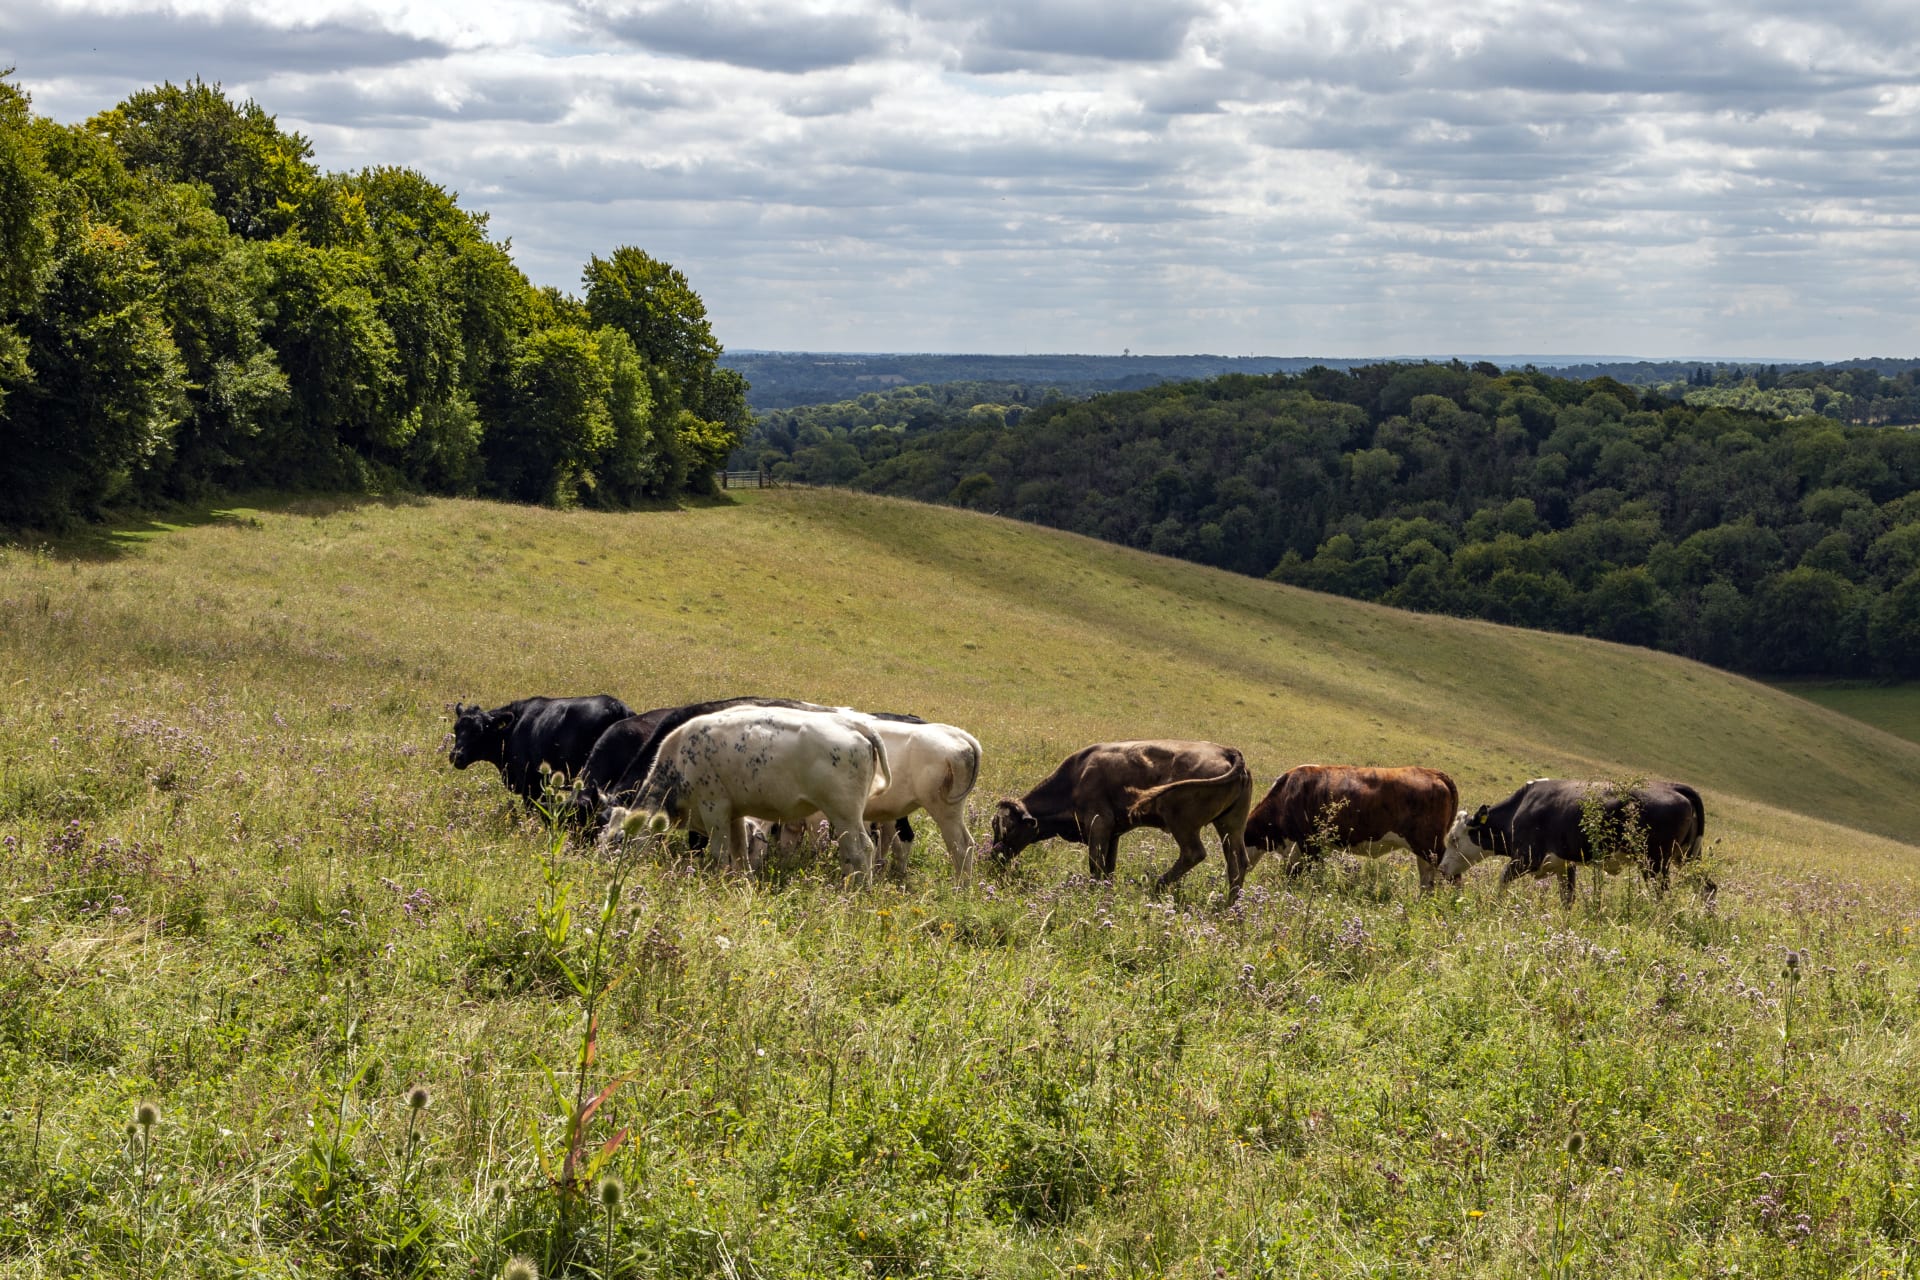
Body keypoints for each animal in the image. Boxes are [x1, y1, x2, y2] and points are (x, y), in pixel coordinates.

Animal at [990, 740, 1259, 901]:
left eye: (1006, 828)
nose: (992, 857)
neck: (1076, 777)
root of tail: (1227, 750)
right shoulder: (1114, 832)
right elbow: (1108, 867)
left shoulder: (1099, 824)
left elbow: (1096, 865)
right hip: (1229, 825)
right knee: (1238, 862)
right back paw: (1230, 908)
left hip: (1182, 822)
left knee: (1194, 853)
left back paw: (1156, 887)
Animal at [1236, 771, 1459, 890]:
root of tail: (1433, 773)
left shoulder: (1307, 846)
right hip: (1425, 852)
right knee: (1427, 879)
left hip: (1431, 846)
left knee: (1451, 874)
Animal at [1443, 775, 1712, 905]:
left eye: (1454, 839)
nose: (1443, 868)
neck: (1521, 809)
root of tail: (1673, 787)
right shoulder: (1564, 864)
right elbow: (1567, 898)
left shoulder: (1527, 858)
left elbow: (1502, 881)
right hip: (1687, 857)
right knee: (1708, 887)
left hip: (1655, 861)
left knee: (1662, 893)